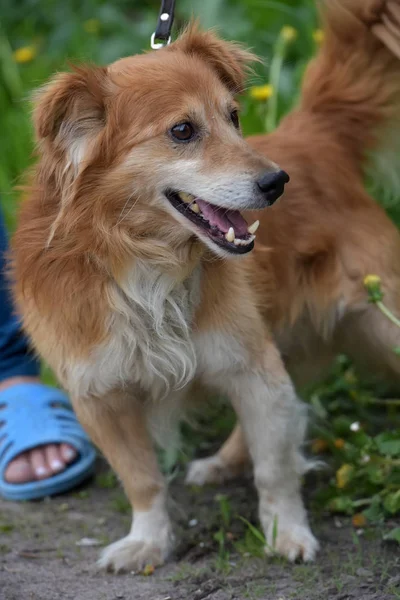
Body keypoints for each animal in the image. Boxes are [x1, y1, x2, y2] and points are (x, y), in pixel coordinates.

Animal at [10, 0, 400, 572]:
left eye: (234, 118)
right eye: (182, 130)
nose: (278, 182)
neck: (143, 259)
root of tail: (314, 137)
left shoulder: (252, 366)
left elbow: (274, 468)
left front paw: (287, 531)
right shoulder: (98, 393)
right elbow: (142, 479)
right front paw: (149, 541)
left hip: (379, 324)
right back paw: (222, 462)